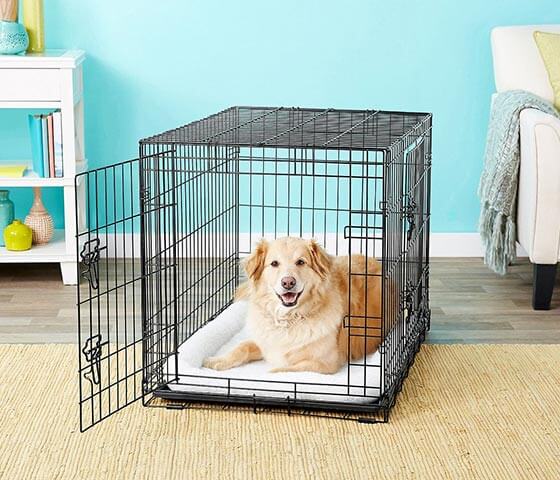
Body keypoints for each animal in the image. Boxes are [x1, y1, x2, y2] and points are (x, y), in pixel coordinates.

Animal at [202, 237, 383, 374]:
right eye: (274, 263)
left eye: (301, 262)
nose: (288, 282)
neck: (288, 318)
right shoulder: (266, 341)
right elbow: (242, 346)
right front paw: (218, 360)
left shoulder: (324, 364)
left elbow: (284, 369)